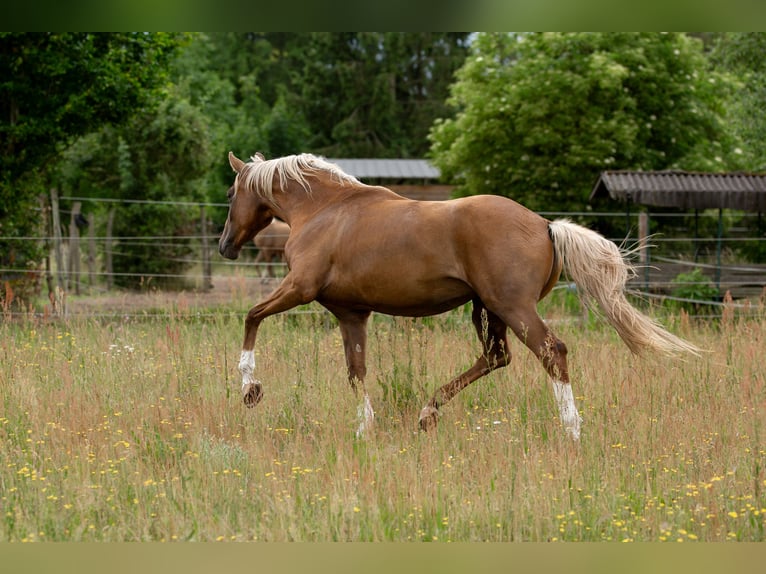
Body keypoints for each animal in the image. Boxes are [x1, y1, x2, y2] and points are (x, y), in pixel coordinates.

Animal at [218, 152, 700, 440]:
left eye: (230, 192)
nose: (225, 246)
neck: (325, 210)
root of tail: (545, 225)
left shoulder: (299, 288)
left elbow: (251, 317)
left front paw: (250, 389)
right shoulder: (351, 313)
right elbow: (356, 372)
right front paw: (364, 430)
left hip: (512, 307)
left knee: (553, 351)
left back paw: (572, 430)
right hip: (486, 309)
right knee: (496, 357)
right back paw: (427, 412)